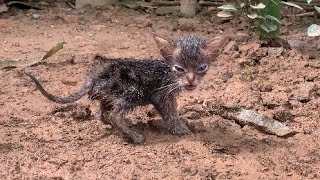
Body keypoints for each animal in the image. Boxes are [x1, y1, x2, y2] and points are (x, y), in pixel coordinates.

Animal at [26, 34, 229, 143]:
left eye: (201, 68)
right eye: (179, 69)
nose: (191, 81)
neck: (169, 75)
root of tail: (93, 77)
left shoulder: (170, 95)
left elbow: (174, 110)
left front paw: (181, 122)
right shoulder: (160, 95)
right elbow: (169, 114)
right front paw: (178, 129)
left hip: (108, 95)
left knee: (102, 113)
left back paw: (114, 124)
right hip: (132, 91)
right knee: (116, 114)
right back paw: (134, 136)